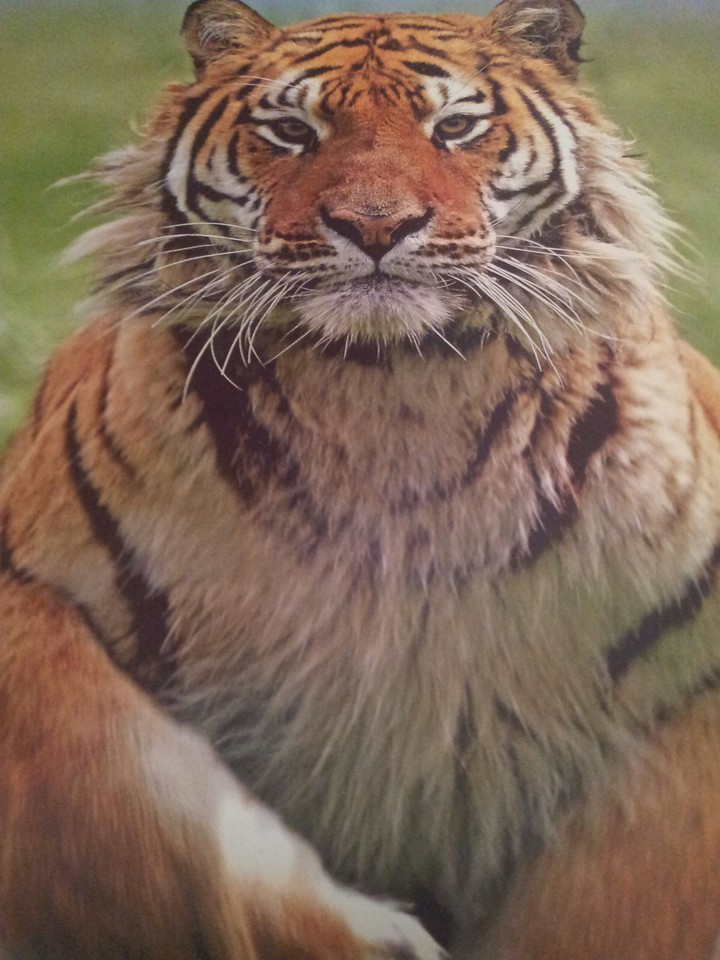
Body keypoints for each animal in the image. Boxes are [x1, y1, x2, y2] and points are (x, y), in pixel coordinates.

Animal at [2, 0, 720, 957]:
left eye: (454, 128)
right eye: (291, 131)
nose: (376, 227)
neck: (391, 398)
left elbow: (634, 884)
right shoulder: (30, 600)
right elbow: (115, 791)